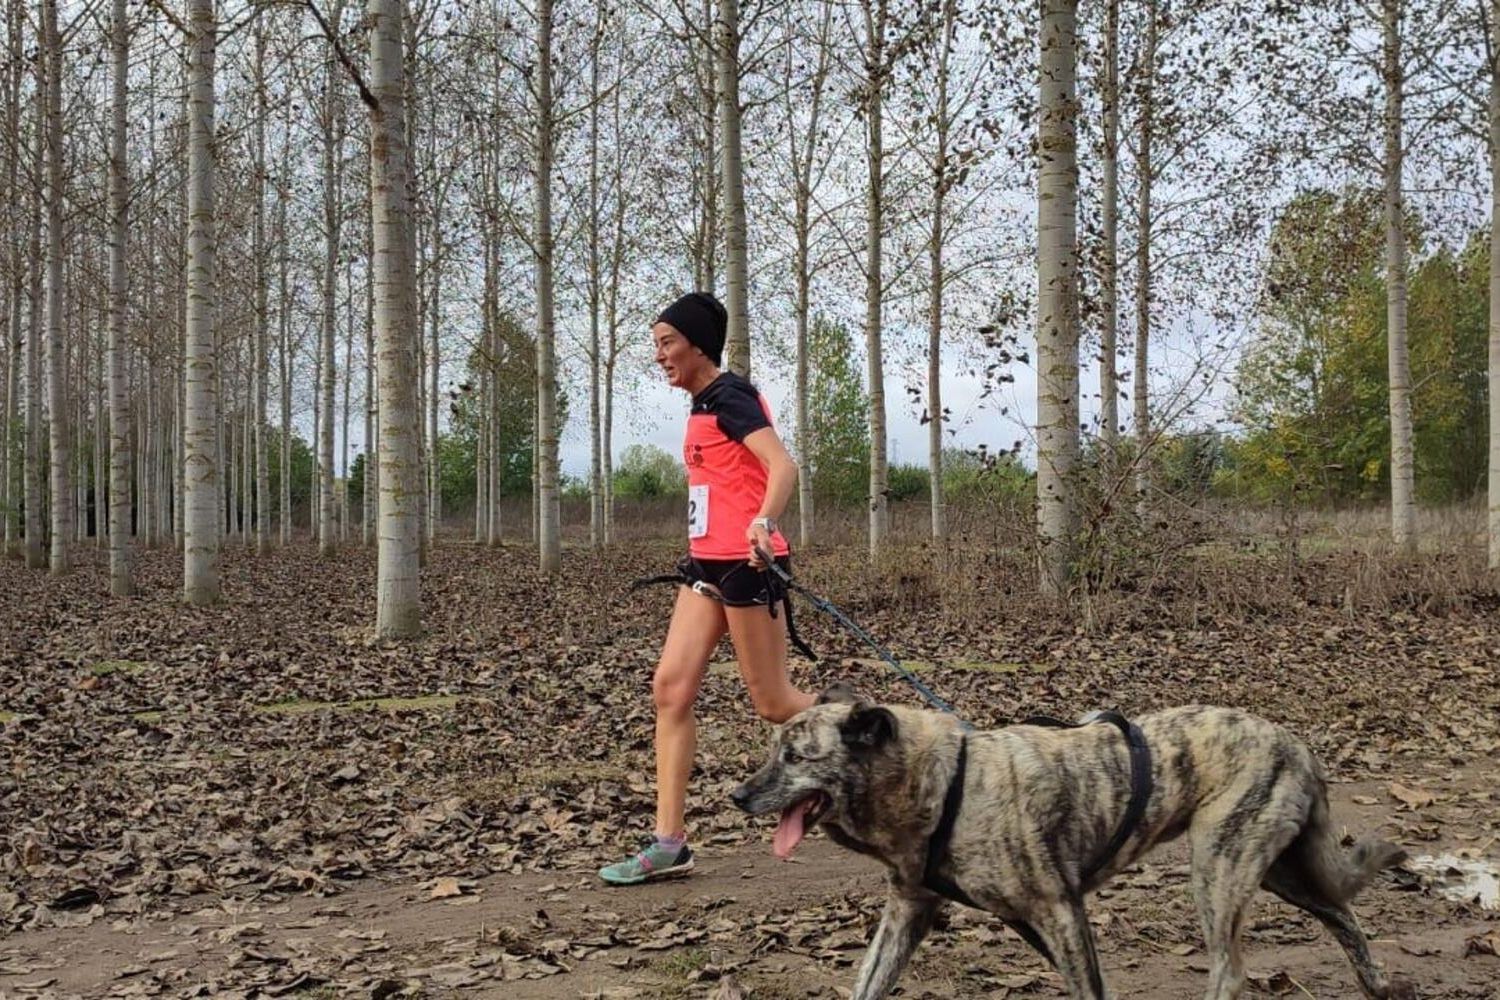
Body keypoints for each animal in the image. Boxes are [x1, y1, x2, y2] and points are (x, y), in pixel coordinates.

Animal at [732, 692, 1410, 1000]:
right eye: (772, 751)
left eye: (794, 757)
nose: (737, 795)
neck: (945, 781)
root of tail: (1296, 743)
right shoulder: (908, 912)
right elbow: (867, 983)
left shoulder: (1060, 913)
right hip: (1280, 873)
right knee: (1344, 916)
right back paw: (1378, 985)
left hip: (1218, 870)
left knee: (1231, 969)